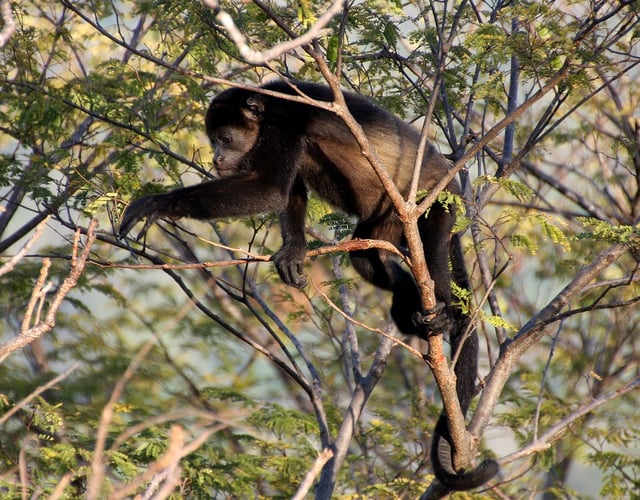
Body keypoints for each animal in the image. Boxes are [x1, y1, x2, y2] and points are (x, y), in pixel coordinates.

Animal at [119, 80, 500, 490]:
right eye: (214, 140)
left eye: (225, 138)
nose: (217, 159)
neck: (266, 109)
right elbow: (289, 191)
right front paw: (293, 251)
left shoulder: (284, 126)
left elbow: (270, 188)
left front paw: (160, 203)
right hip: (384, 222)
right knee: (366, 257)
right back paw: (406, 300)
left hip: (437, 203)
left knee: (431, 249)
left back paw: (443, 312)